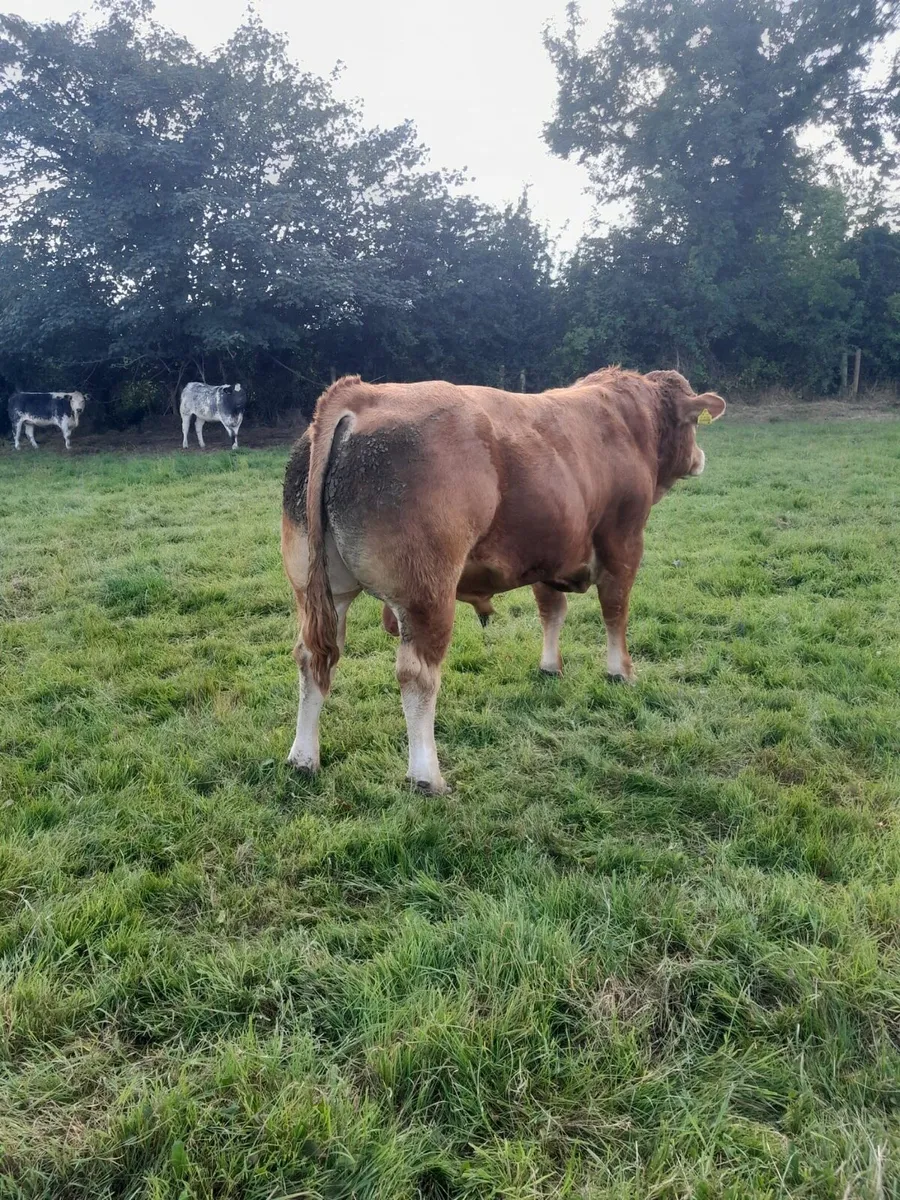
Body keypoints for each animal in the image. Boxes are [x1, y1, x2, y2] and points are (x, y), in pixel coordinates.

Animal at [281, 368, 726, 794]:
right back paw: (426, 776)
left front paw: (550, 667)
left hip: (320, 590)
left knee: (313, 657)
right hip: (427, 593)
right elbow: (615, 610)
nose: (701, 457)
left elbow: (552, 611)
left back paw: (303, 758)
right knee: (416, 674)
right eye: (692, 423)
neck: (632, 421)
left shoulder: (547, 553)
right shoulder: (624, 542)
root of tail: (361, 394)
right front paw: (621, 672)